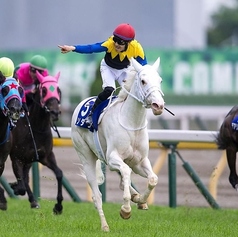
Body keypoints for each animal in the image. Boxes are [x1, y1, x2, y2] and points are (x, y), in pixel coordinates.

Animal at [9, 71, 63, 214]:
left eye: (58, 90)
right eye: (44, 90)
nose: (55, 112)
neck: (35, 127)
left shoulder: (45, 156)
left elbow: (59, 174)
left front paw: (58, 206)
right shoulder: (16, 158)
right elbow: (21, 185)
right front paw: (15, 187)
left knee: (26, 178)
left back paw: (33, 201)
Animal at [71, 57, 165, 231]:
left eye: (160, 80)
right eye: (143, 81)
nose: (159, 106)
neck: (131, 123)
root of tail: (81, 103)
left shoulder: (139, 161)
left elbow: (153, 179)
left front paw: (141, 200)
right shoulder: (113, 157)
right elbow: (127, 172)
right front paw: (126, 209)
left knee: (122, 180)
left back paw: (135, 195)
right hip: (85, 155)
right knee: (97, 196)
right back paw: (105, 226)